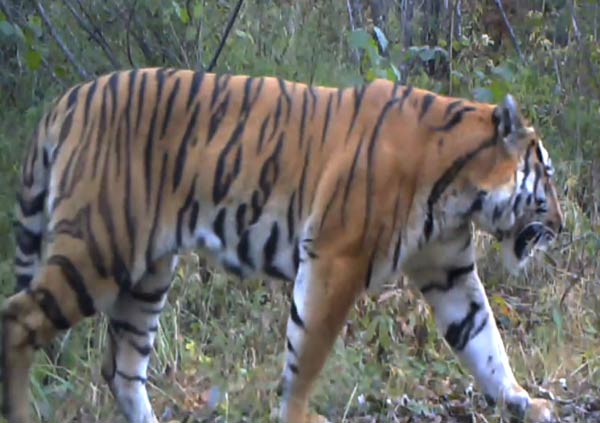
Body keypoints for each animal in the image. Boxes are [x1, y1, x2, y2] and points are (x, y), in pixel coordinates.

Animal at [1, 68, 564, 422]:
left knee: (121, 369)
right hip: (98, 247)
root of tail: (67, 98)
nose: (561, 225)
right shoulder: (337, 257)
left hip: (148, 273)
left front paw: (523, 402)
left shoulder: (448, 270)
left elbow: (484, 341)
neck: (459, 189)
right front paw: (296, 415)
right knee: (17, 321)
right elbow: (308, 349)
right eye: (547, 177)